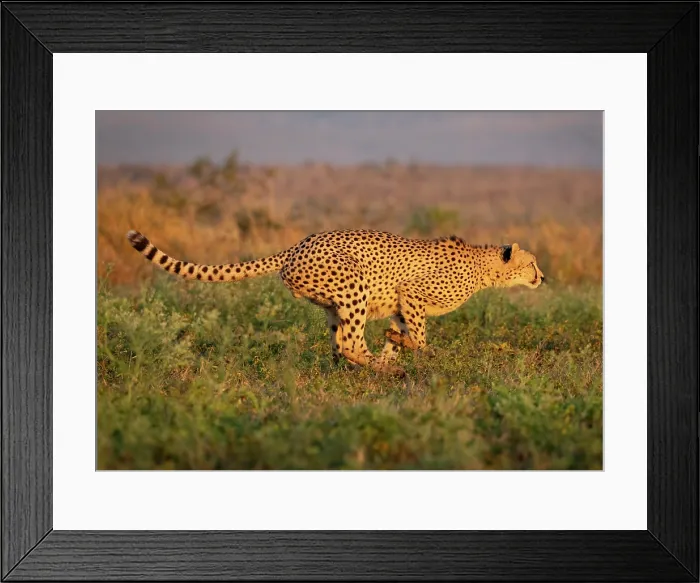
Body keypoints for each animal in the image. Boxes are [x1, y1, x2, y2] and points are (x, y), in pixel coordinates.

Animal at [126, 228, 546, 377]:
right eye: (532, 263)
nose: (543, 277)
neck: (483, 266)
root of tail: (299, 243)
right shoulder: (412, 294)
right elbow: (420, 337)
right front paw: (418, 354)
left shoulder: (400, 304)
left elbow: (399, 331)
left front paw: (395, 348)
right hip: (354, 285)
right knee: (351, 343)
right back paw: (384, 369)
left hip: (334, 303)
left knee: (342, 343)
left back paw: (375, 367)